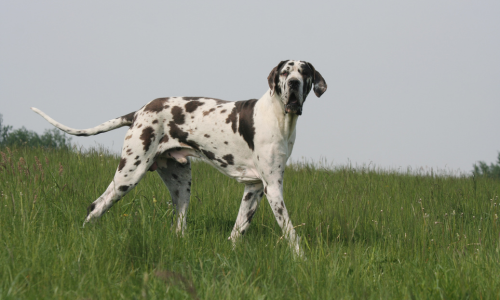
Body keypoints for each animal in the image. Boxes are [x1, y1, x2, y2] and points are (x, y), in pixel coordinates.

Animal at [31, 59, 328, 256]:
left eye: (304, 72)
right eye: (285, 72)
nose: (294, 83)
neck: (278, 117)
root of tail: (139, 111)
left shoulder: (254, 189)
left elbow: (238, 229)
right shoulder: (273, 188)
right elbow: (290, 231)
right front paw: (302, 259)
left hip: (181, 184)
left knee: (178, 226)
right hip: (129, 174)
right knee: (95, 206)